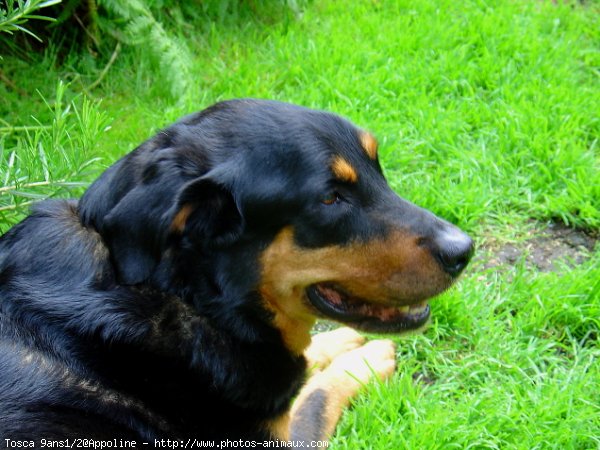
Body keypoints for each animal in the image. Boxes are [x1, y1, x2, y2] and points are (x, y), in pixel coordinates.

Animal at [0, 99, 474, 442]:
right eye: (330, 199)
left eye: (378, 169)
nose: (463, 250)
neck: (191, 299)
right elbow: (313, 396)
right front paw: (364, 360)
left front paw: (338, 343)